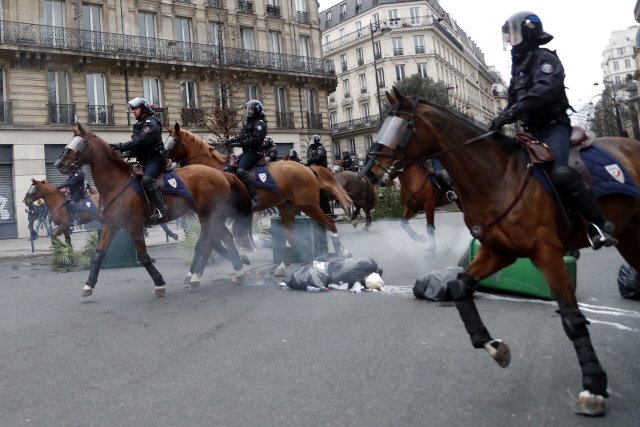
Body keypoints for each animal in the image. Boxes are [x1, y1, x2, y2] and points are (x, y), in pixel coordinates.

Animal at [54, 123, 255, 298]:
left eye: (79, 143)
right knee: (220, 238)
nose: (59, 164)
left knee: (210, 240)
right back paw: (232, 267)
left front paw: (159, 283)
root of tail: (221, 173)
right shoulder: (110, 226)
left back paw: (208, 274)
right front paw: (88, 285)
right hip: (209, 215)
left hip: (209, 214)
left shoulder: (134, 227)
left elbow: (143, 257)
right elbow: (98, 255)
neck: (116, 185)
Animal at [168, 123, 352, 278]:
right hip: (287, 206)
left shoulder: (216, 215)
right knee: (292, 235)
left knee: (329, 222)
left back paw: (343, 252)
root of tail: (307, 168)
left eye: (172, 142)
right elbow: (218, 240)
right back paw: (283, 266)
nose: (166, 163)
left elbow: (214, 240)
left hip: (308, 205)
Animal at [360, 88, 640, 418]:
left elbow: (572, 318)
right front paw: (492, 345)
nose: (369, 172)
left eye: (401, 129)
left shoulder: (546, 252)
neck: (499, 176)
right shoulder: (498, 251)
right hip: (630, 234)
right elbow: (458, 286)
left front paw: (593, 387)